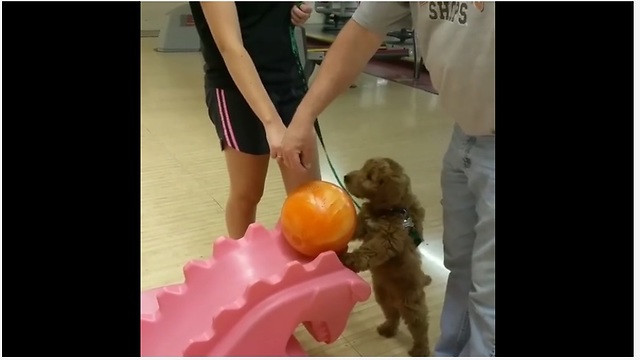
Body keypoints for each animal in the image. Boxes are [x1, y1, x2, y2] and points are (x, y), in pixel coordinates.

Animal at [340, 158, 430, 358]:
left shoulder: (389, 238)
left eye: (369, 176)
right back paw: (387, 329)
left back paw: (420, 349)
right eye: (363, 169)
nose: (345, 177)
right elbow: (354, 227)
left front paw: (351, 259)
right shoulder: (363, 224)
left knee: (419, 326)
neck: (390, 210)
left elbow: (371, 250)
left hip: (411, 303)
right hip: (383, 298)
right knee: (393, 316)